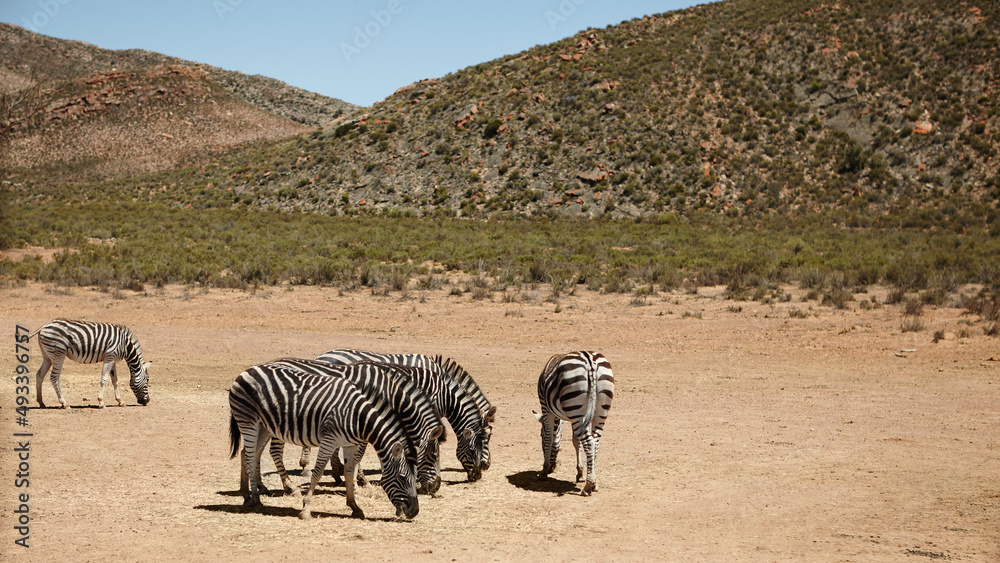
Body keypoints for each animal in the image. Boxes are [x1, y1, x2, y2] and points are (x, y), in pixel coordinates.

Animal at [229, 364, 420, 524]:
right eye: (402, 477)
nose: (415, 512)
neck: (358, 417)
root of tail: (248, 370)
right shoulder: (330, 440)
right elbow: (318, 472)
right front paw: (306, 509)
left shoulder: (350, 444)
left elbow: (349, 472)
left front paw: (354, 506)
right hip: (248, 420)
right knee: (250, 455)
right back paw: (255, 498)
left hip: (264, 426)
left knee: (247, 453)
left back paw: (246, 495)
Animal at [270, 360, 450, 496]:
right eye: (434, 455)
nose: (436, 487)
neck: (387, 394)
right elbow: (359, 455)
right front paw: (359, 482)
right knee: (274, 450)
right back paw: (289, 487)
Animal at [536, 352, 612, 498]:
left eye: (540, 436)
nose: (553, 468)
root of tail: (590, 361)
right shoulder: (573, 418)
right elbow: (576, 441)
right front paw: (580, 472)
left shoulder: (546, 409)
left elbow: (549, 438)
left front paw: (544, 470)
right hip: (598, 411)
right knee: (595, 442)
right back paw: (594, 481)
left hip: (576, 408)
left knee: (589, 442)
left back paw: (589, 485)